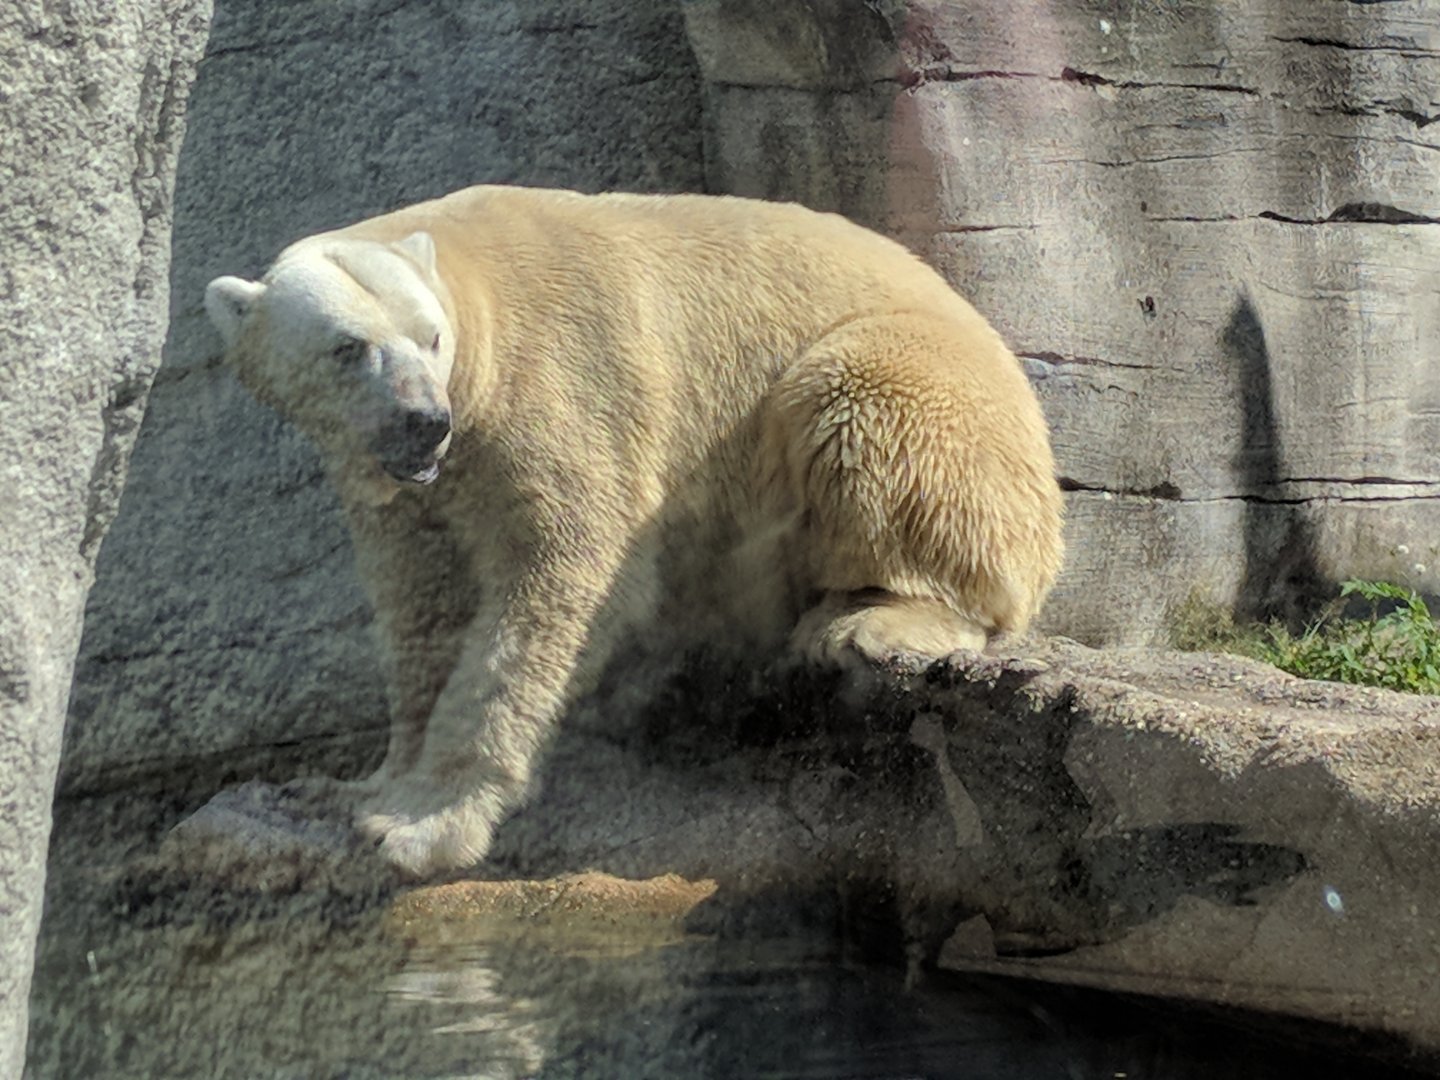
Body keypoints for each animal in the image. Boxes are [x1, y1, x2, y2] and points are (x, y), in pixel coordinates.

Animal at [203, 185, 1064, 878]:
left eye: (430, 337)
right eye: (347, 348)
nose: (424, 421)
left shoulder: (552, 391)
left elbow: (560, 569)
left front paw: (425, 826)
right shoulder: (410, 490)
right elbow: (424, 609)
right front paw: (363, 784)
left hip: (923, 391)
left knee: (864, 409)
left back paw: (869, 622)